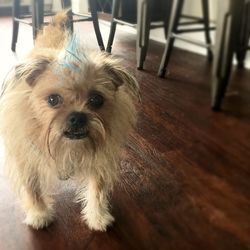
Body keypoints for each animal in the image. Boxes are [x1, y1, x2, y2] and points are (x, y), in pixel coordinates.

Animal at [0, 10, 140, 231]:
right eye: (53, 99)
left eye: (96, 100)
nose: (77, 116)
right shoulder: (25, 158)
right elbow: (32, 188)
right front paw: (39, 214)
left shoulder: (100, 158)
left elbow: (97, 188)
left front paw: (97, 216)